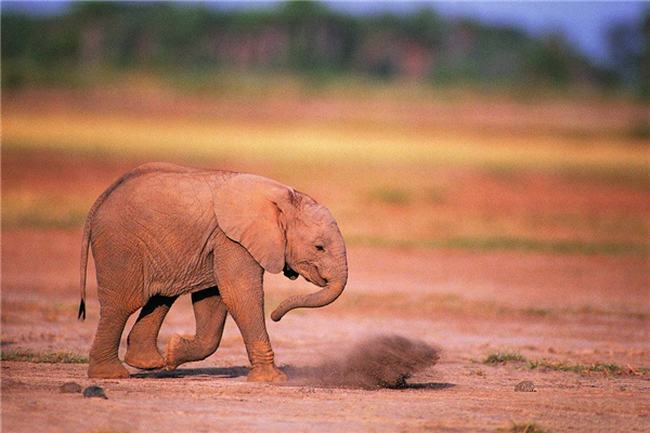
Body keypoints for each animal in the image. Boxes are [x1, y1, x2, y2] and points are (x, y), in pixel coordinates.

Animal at [79, 163, 346, 382]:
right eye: (319, 247)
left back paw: (150, 363)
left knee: (161, 297)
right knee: (122, 304)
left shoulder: (219, 242)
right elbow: (240, 294)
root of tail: (101, 199)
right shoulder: (231, 239)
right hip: (120, 244)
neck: (283, 198)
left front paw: (173, 353)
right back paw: (111, 374)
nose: (275, 317)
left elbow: (213, 299)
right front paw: (273, 379)